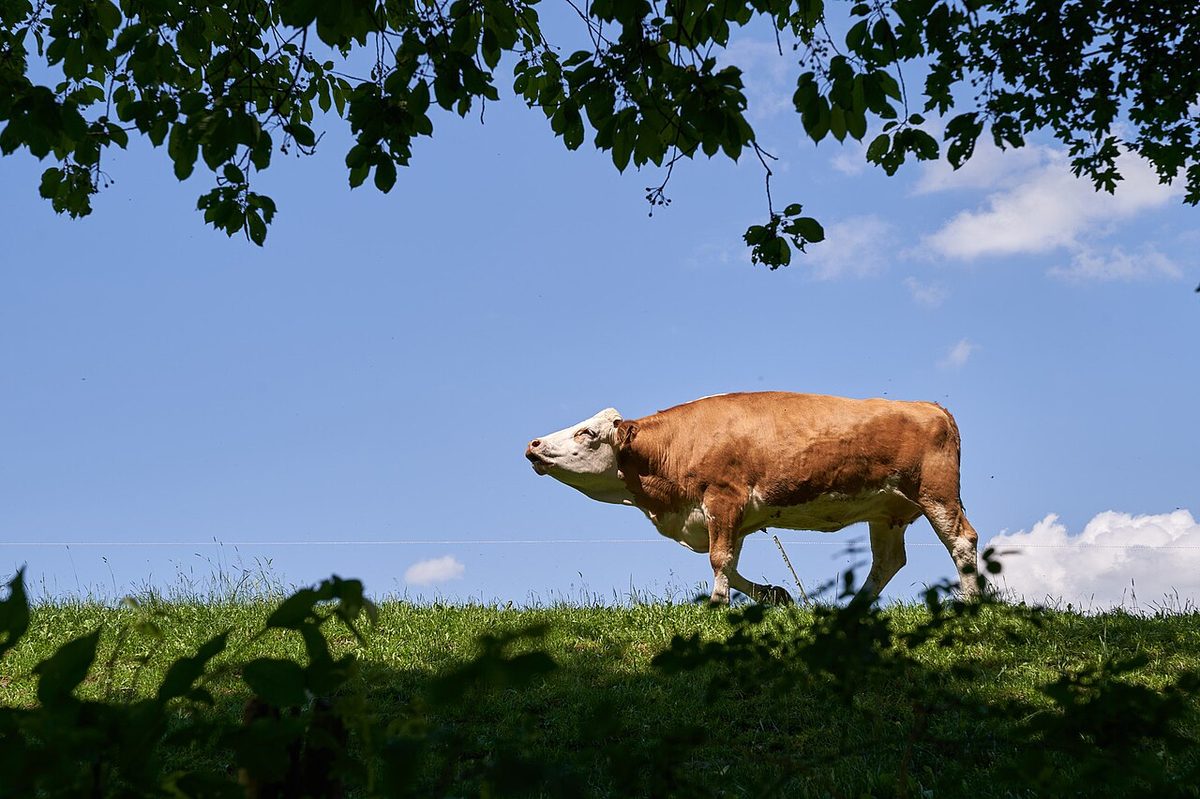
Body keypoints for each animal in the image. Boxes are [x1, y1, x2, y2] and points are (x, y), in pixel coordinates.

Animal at [525, 392, 979, 605]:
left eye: (587, 433)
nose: (533, 443)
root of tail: (930, 407)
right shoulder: (735, 516)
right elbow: (731, 561)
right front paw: (773, 594)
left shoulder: (723, 499)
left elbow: (719, 559)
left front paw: (717, 603)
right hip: (886, 511)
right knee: (888, 561)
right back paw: (853, 610)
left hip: (936, 495)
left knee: (962, 542)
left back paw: (971, 603)